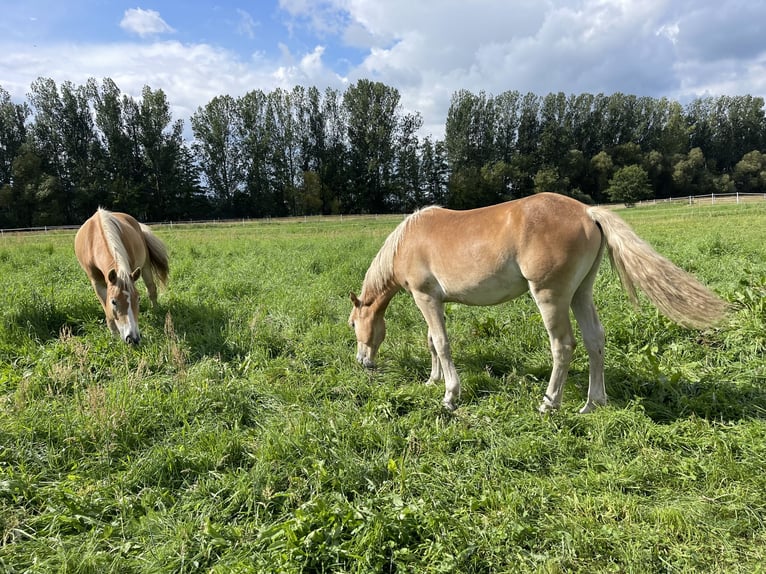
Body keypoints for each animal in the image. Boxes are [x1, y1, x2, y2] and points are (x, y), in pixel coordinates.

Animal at [75, 209, 170, 344]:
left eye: (138, 299)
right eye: (114, 302)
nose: (133, 338)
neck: (94, 240)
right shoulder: (97, 283)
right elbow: (107, 309)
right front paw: (114, 335)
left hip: (145, 266)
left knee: (151, 289)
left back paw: (155, 311)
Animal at [352, 192, 728, 414]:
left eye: (354, 324)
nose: (362, 362)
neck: (408, 240)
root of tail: (587, 212)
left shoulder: (426, 297)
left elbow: (441, 343)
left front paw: (450, 395)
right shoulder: (433, 301)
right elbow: (432, 342)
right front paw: (433, 381)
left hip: (550, 297)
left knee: (563, 346)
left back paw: (549, 404)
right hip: (580, 294)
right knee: (594, 341)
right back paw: (593, 402)